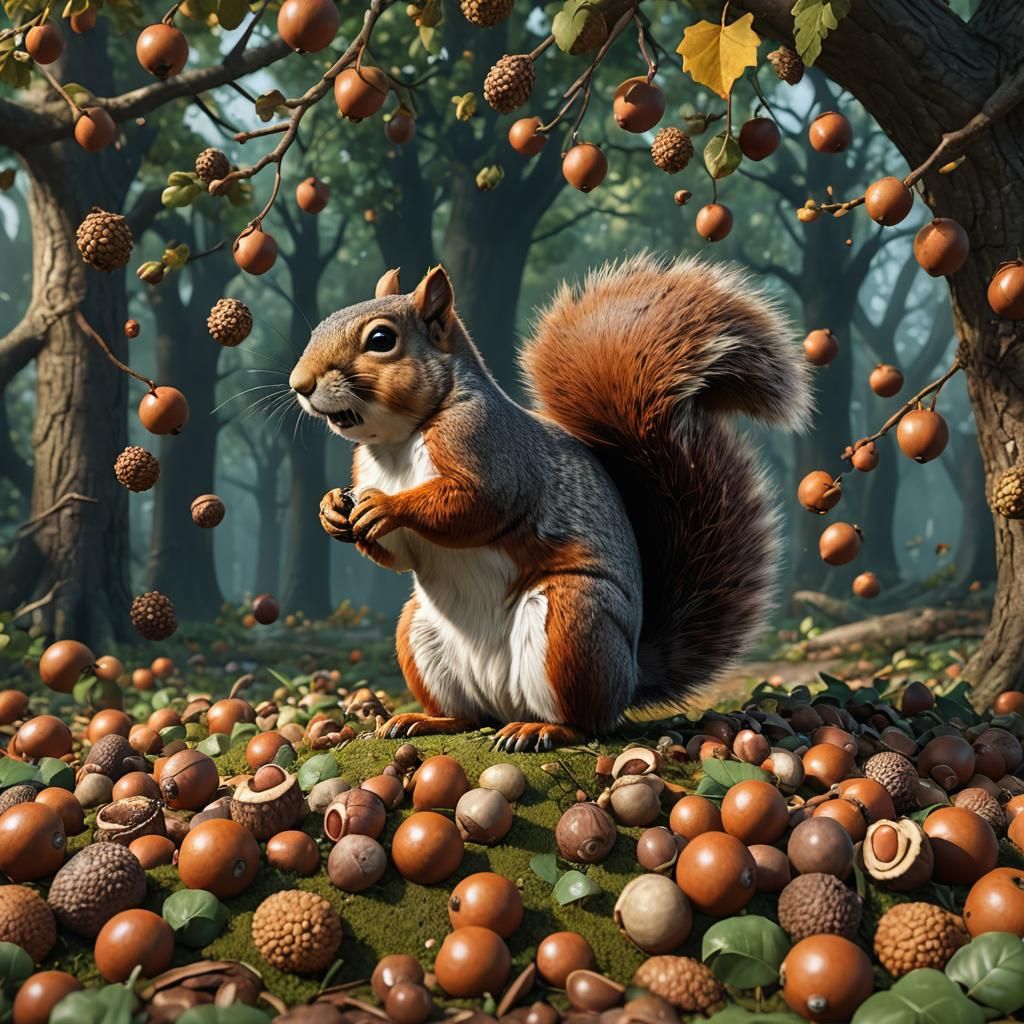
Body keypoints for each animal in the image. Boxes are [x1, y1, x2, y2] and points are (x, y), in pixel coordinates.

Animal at [288, 255, 811, 750]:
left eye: (381, 339)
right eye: (319, 326)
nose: (299, 384)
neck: (398, 442)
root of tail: (631, 675)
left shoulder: (489, 449)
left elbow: (475, 507)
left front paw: (387, 507)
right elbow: (397, 555)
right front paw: (331, 508)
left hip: (571, 620)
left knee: (589, 722)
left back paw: (545, 729)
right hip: (419, 633)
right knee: (469, 715)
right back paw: (425, 719)